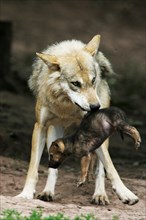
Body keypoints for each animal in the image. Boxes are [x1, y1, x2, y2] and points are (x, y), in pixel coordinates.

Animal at [16, 34, 139, 205]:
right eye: (75, 83)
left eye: (93, 80)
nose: (95, 107)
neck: (67, 106)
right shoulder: (40, 126)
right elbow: (33, 168)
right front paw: (26, 193)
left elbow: (110, 167)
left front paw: (126, 194)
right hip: (53, 134)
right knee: (53, 167)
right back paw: (48, 192)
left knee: (100, 168)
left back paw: (100, 195)